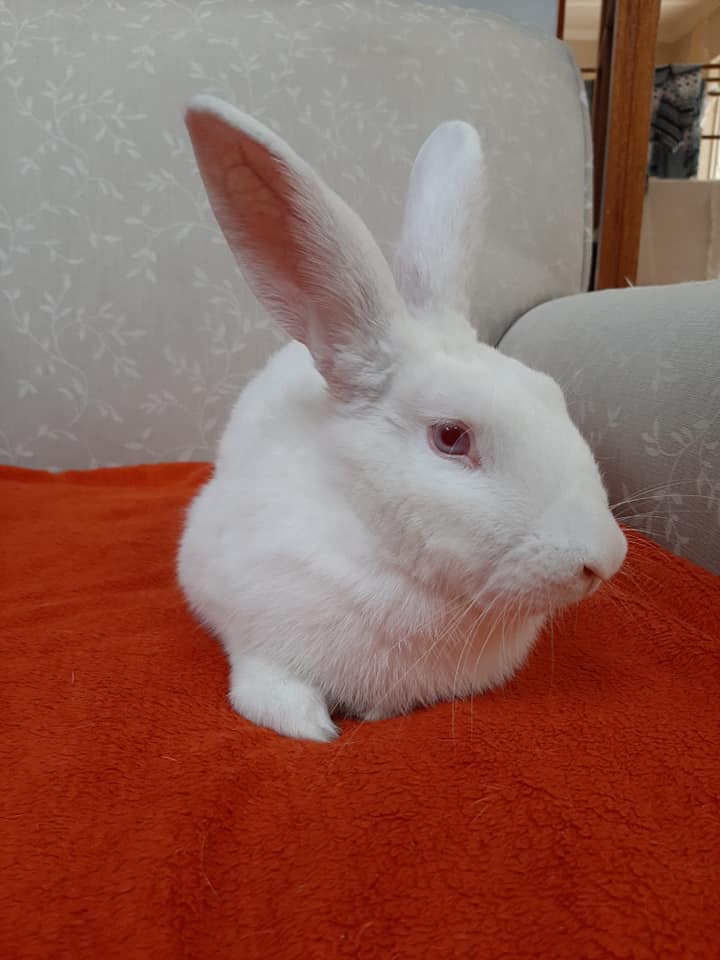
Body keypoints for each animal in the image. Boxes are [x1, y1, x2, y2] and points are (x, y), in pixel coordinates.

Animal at [177, 95, 627, 742]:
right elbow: (268, 692)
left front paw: (369, 714)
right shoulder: (258, 640)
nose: (604, 559)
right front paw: (317, 730)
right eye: (451, 436)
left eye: (551, 395)